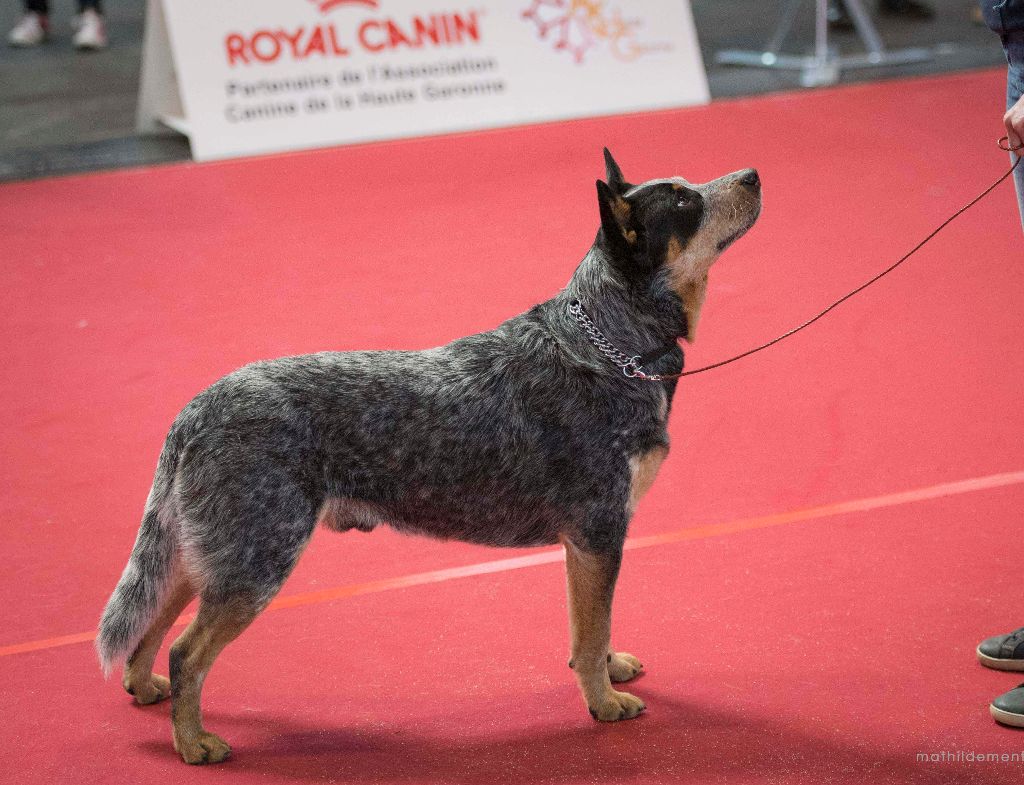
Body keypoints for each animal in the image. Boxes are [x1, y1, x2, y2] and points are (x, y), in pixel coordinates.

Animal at [97, 150, 761, 765]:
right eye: (684, 201)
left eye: (688, 185)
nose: (753, 174)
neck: (610, 345)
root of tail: (196, 407)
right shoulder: (599, 531)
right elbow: (591, 630)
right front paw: (604, 704)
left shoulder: (592, 543)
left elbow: (593, 628)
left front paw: (611, 668)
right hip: (256, 560)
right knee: (187, 652)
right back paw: (193, 743)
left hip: (209, 550)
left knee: (153, 617)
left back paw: (144, 686)